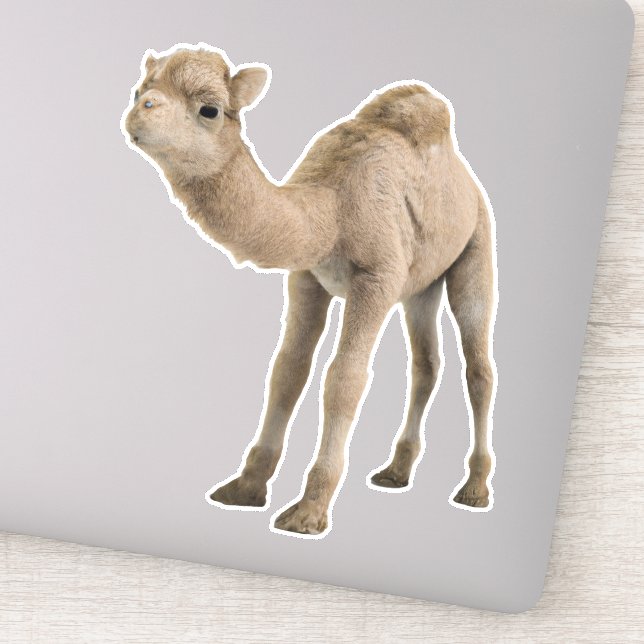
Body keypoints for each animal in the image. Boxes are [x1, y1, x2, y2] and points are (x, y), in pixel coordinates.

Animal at [122, 43, 498, 538]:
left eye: (210, 110)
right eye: (139, 91)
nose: (141, 112)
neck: (329, 210)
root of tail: (468, 179)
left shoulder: (376, 278)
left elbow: (344, 379)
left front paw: (307, 512)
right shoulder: (307, 278)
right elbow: (288, 370)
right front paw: (245, 488)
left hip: (478, 244)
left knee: (479, 368)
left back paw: (475, 489)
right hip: (421, 285)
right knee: (426, 363)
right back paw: (395, 472)